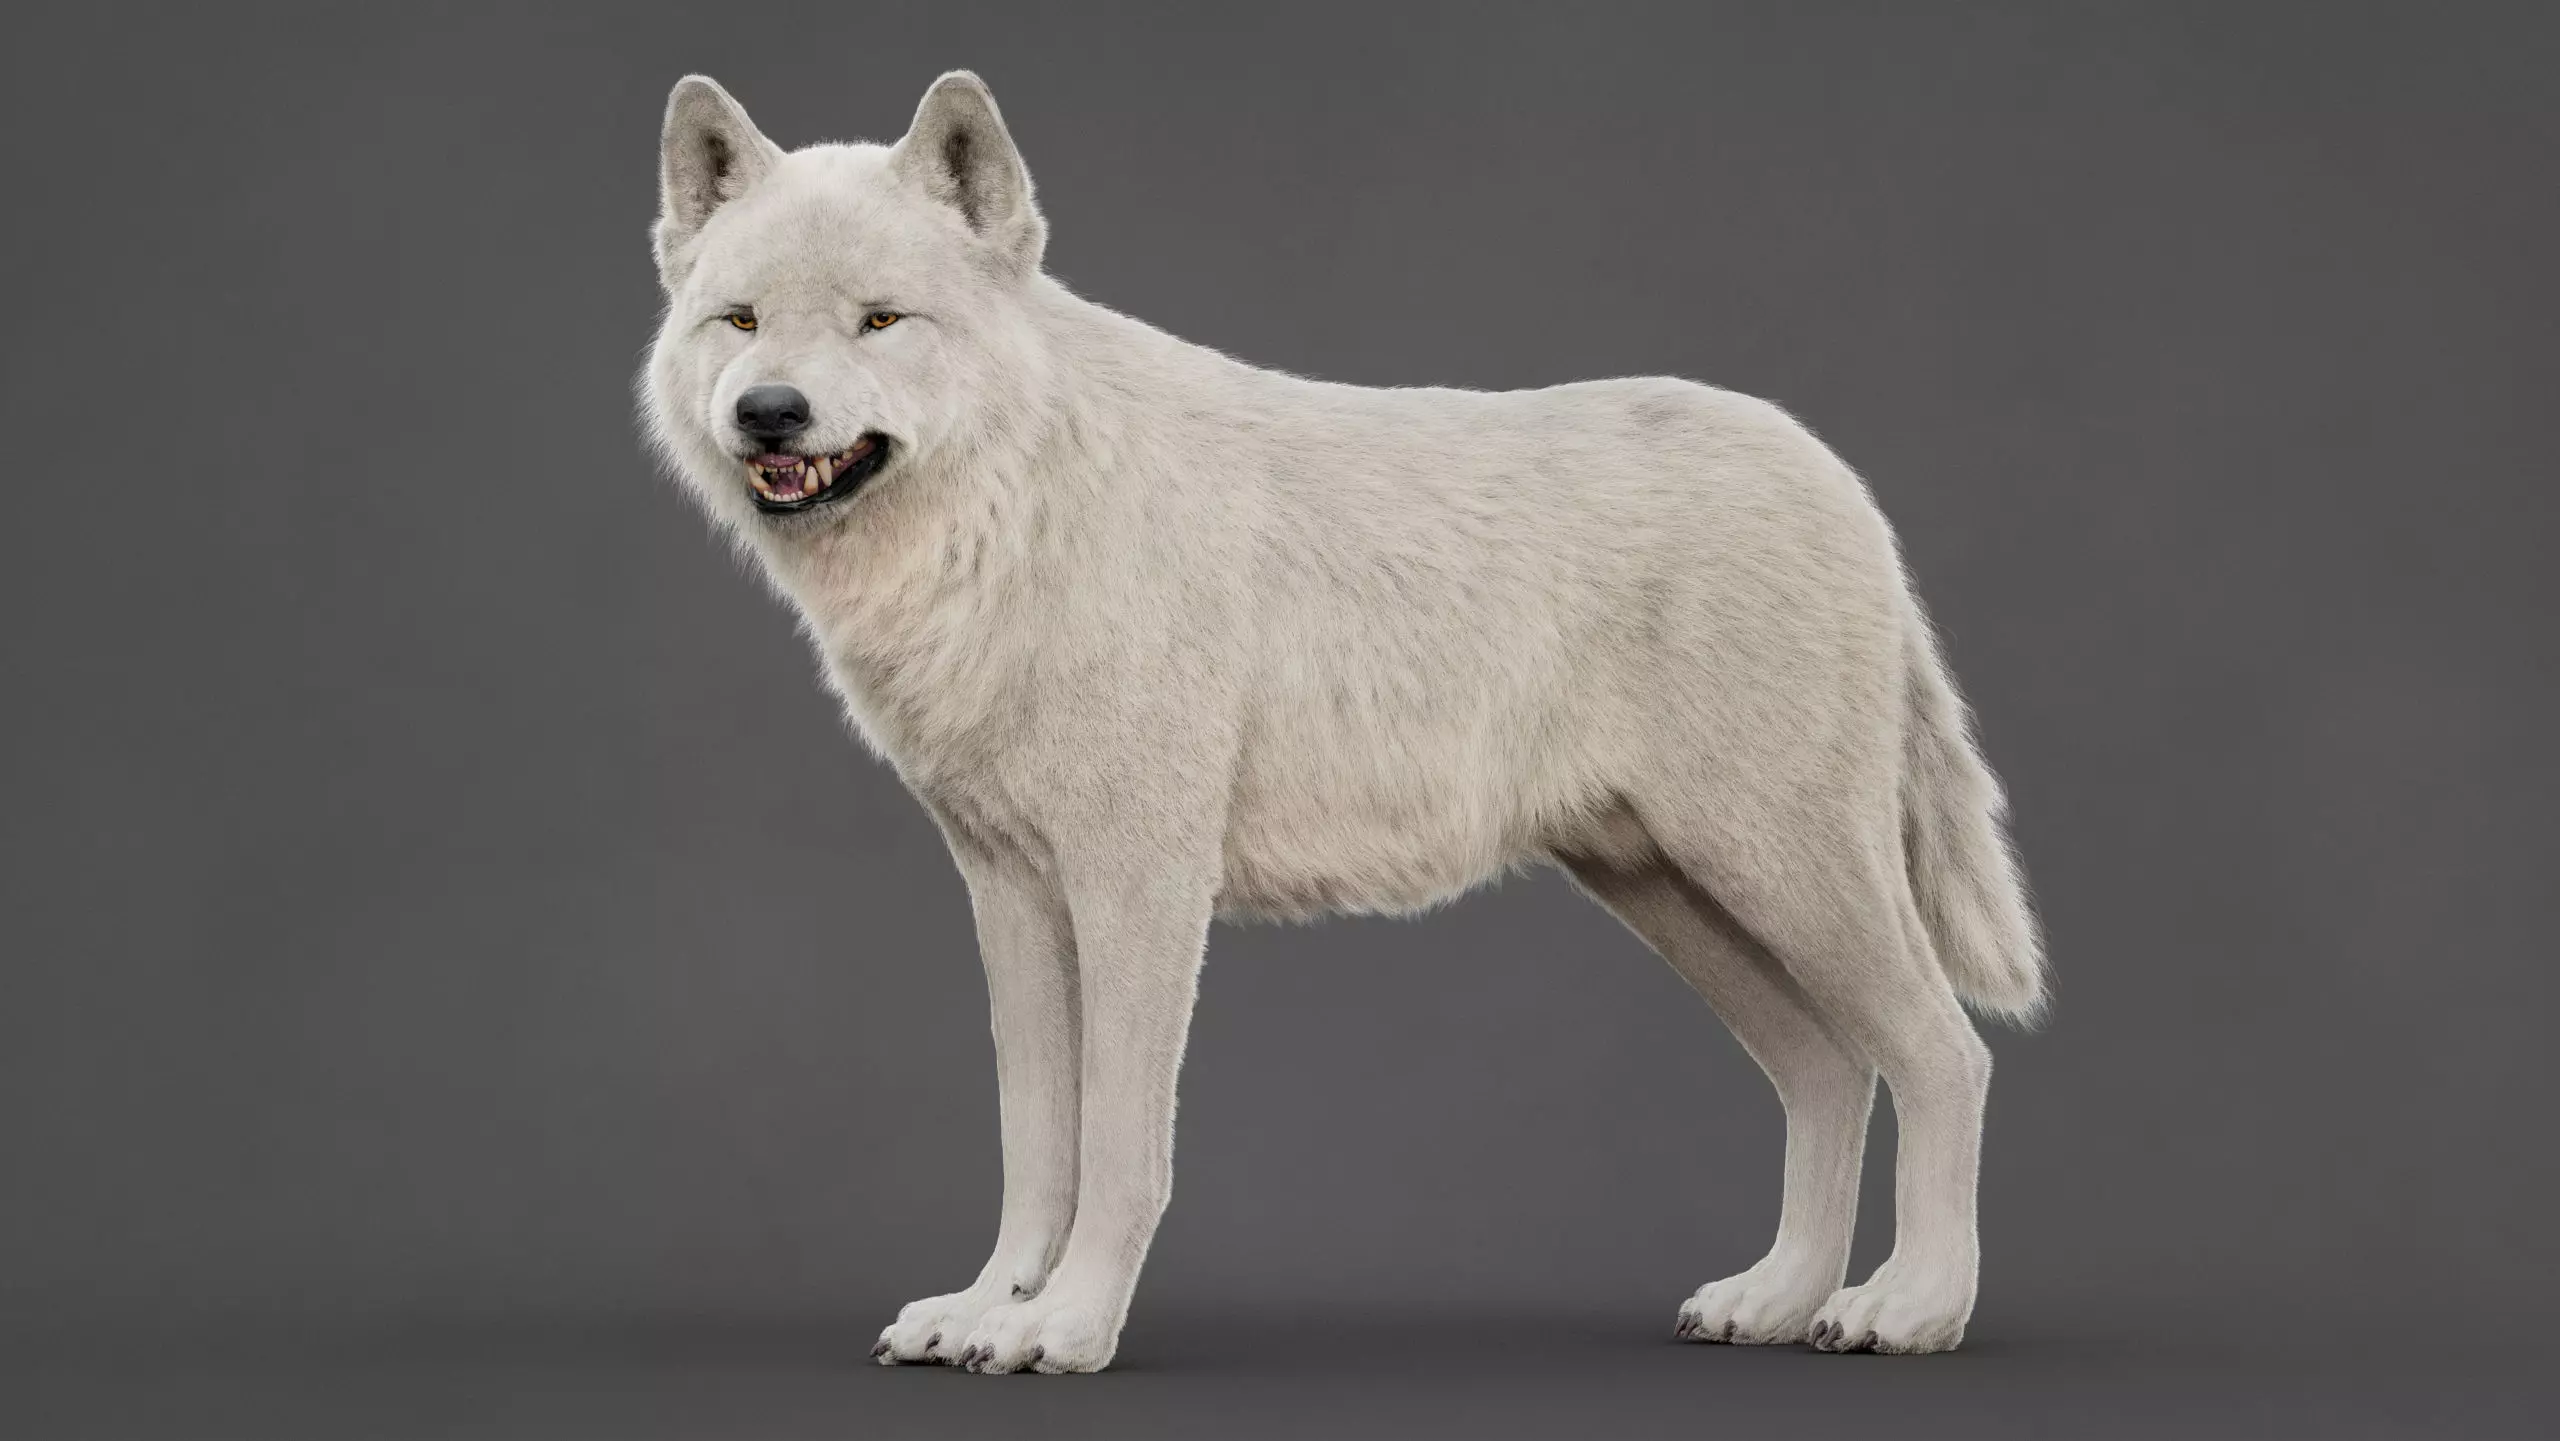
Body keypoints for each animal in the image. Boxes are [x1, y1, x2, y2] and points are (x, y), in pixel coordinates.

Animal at [639, 71, 2045, 1375]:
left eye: (880, 320)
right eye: (741, 320)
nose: (767, 411)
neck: (1015, 511)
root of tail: (1841, 482)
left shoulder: (1139, 880)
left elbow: (1120, 1144)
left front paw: (1073, 1326)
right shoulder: (1008, 889)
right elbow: (1034, 1139)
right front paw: (989, 1310)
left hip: (1781, 870)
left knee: (1945, 1056)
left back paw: (1911, 1309)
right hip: (1677, 893)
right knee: (1831, 1070)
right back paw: (1776, 1301)